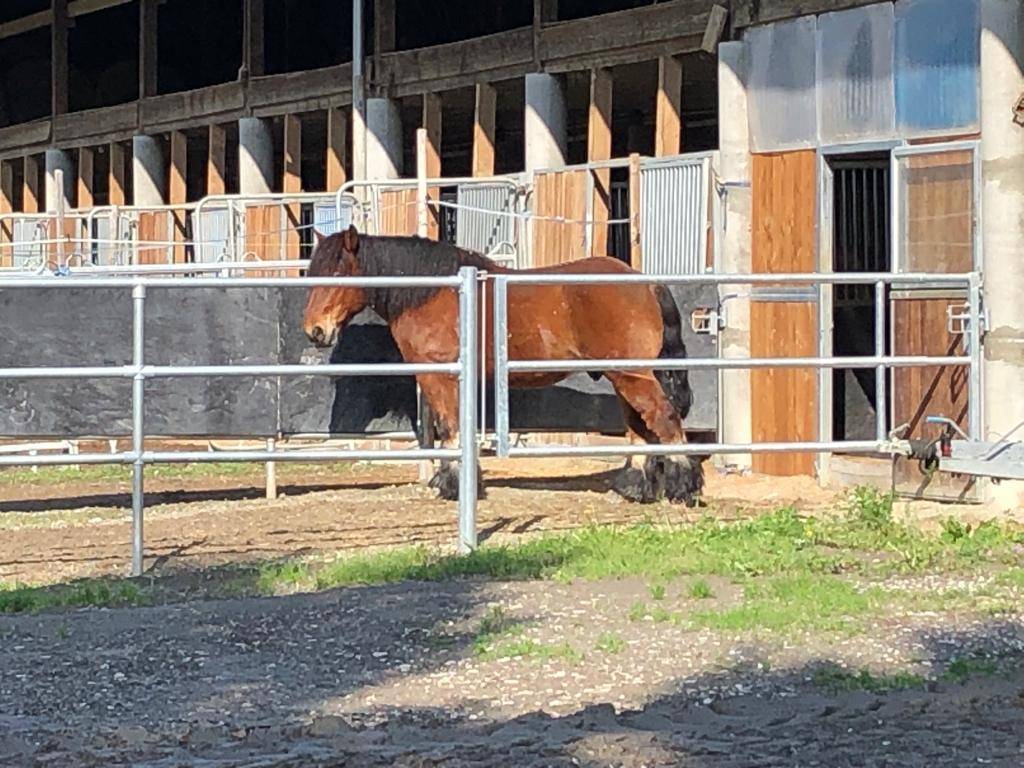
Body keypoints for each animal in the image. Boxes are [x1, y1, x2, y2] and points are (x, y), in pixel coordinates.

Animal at [303, 225, 704, 505]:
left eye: (337, 275)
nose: (315, 331)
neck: (433, 293)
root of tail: (646, 283)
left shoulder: (440, 376)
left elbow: (450, 428)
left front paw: (455, 486)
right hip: (625, 376)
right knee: (639, 427)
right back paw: (636, 487)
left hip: (632, 375)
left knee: (664, 419)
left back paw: (684, 486)